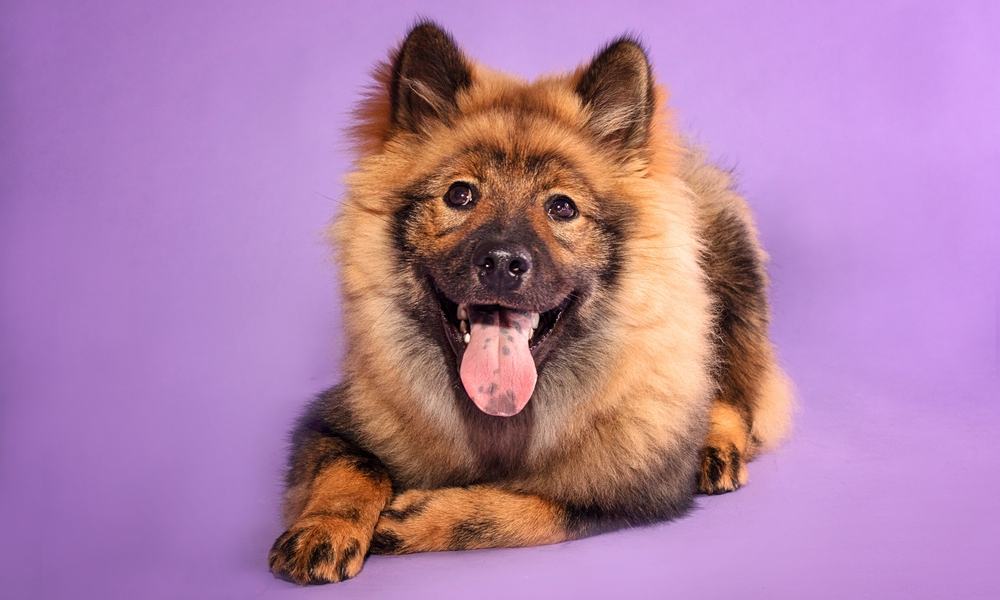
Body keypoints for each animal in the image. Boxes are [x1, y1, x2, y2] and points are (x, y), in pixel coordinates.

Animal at [268, 21, 796, 584]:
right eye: (460, 195)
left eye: (561, 207)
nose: (502, 262)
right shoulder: (328, 421)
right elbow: (352, 465)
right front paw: (324, 528)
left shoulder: (631, 492)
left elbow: (525, 509)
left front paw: (412, 518)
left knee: (740, 392)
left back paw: (716, 447)